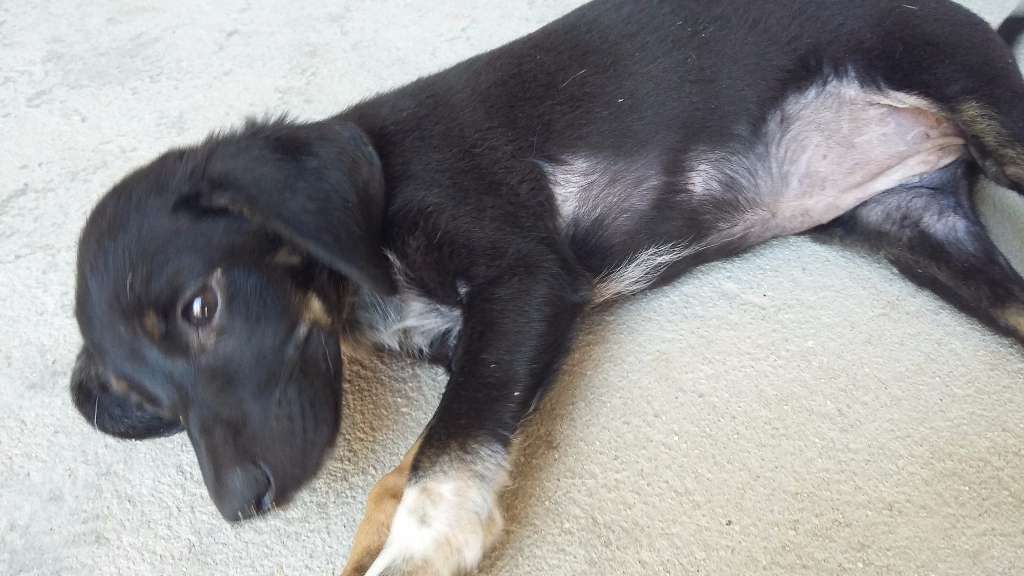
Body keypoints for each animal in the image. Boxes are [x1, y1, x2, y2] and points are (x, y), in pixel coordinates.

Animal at [69, 1, 1024, 574]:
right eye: (138, 396)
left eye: (202, 307)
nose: (241, 509)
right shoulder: (485, 339)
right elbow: (419, 455)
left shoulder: (525, 284)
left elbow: (447, 452)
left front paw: (422, 548)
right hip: (920, 230)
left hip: (985, 111)